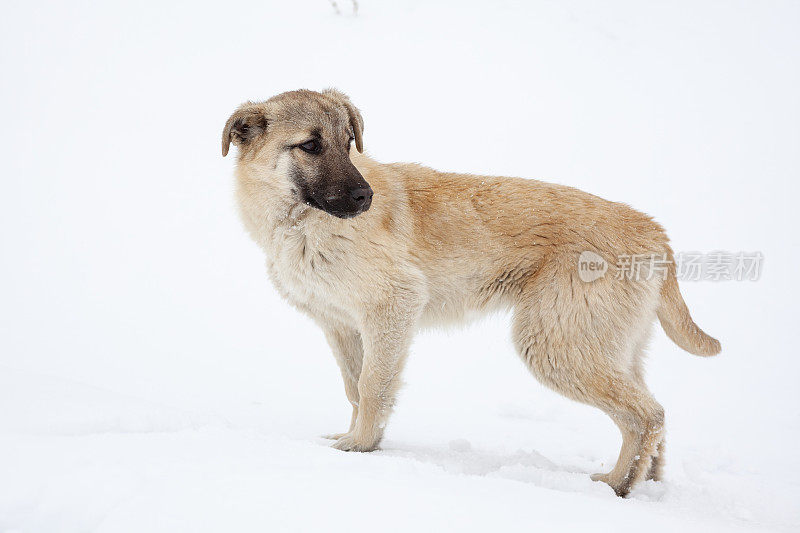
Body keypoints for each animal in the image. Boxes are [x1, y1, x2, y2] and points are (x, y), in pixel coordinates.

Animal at [222, 88, 720, 494]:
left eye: (348, 142)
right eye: (310, 145)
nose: (365, 198)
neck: (299, 223)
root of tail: (654, 232)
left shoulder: (393, 305)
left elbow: (373, 386)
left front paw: (359, 447)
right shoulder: (342, 326)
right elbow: (354, 388)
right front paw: (361, 441)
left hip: (556, 345)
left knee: (647, 416)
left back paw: (617, 485)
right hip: (607, 347)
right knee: (653, 416)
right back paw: (647, 484)